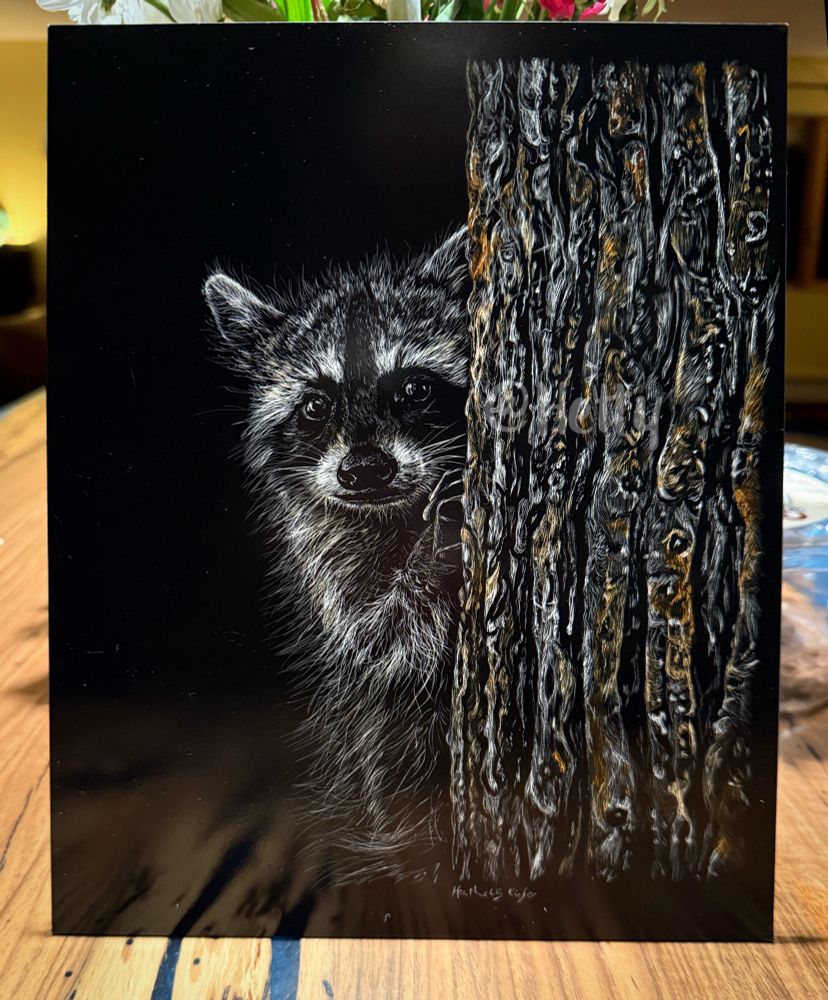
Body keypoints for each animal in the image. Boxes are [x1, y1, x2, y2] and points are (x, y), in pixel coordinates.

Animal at [204, 229, 469, 883]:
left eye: (415, 388)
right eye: (315, 406)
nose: (365, 470)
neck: (394, 514)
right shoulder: (324, 557)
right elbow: (383, 641)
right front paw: (433, 555)